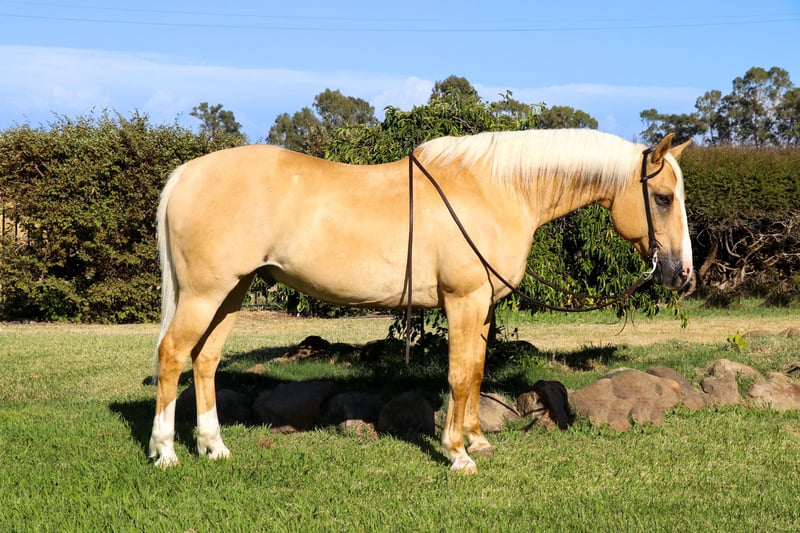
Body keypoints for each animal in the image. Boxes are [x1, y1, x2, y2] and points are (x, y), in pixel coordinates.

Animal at [148, 129, 692, 473]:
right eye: (663, 197)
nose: (682, 275)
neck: (494, 191)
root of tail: (186, 174)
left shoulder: (482, 306)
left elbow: (476, 371)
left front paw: (477, 439)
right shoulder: (463, 300)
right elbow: (459, 375)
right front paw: (457, 454)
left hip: (232, 292)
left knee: (205, 360)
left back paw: (214, 447)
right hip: (205, 294)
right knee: (173, 355)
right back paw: (166, 451)